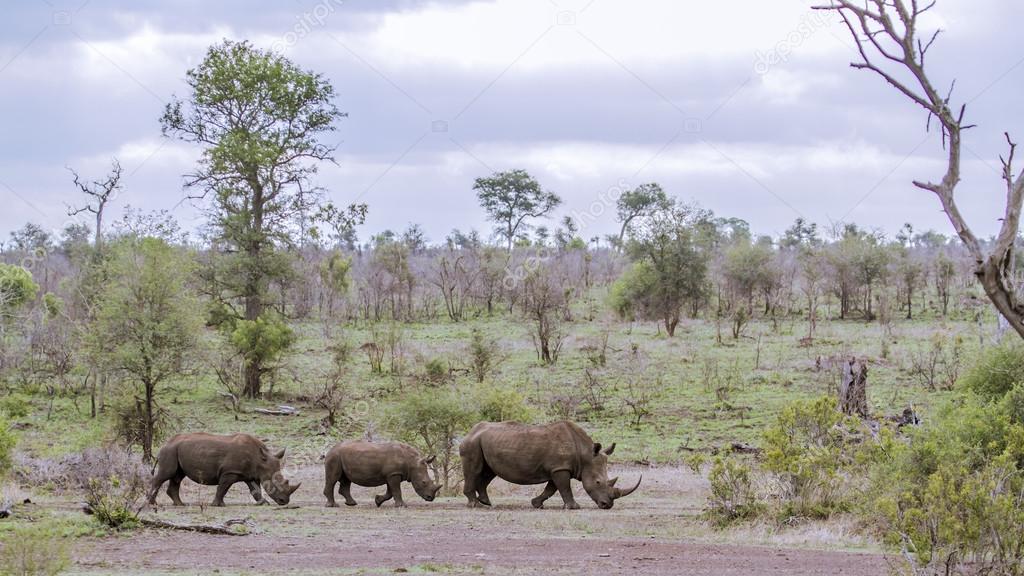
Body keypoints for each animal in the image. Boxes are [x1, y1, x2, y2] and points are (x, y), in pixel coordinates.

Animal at [148, 432, 299, 504]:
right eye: (275, 483)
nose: (284, 502)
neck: (259, 459)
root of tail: (166, 443)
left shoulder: (251, 474)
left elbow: (255, 490)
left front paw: (264, 503)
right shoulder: (229, 472)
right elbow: (223, 488)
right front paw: (218, 504)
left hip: (176, 450)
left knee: (177, 476)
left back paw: (180, 504)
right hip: (170, 451)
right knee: (166, 475)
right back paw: (153, 503)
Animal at [458, 420, 634, 508]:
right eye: (598, 482)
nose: (607, 505)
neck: (584, 454)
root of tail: (471, 431)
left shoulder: (558, 468)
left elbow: (551, 488)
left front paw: (536, 504)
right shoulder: (560, 468)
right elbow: (564, 488)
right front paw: (574, 507)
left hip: (485, 442)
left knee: (489, 472)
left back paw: (486, 502)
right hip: (472, 443)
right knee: (474, 471)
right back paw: (475, 504)